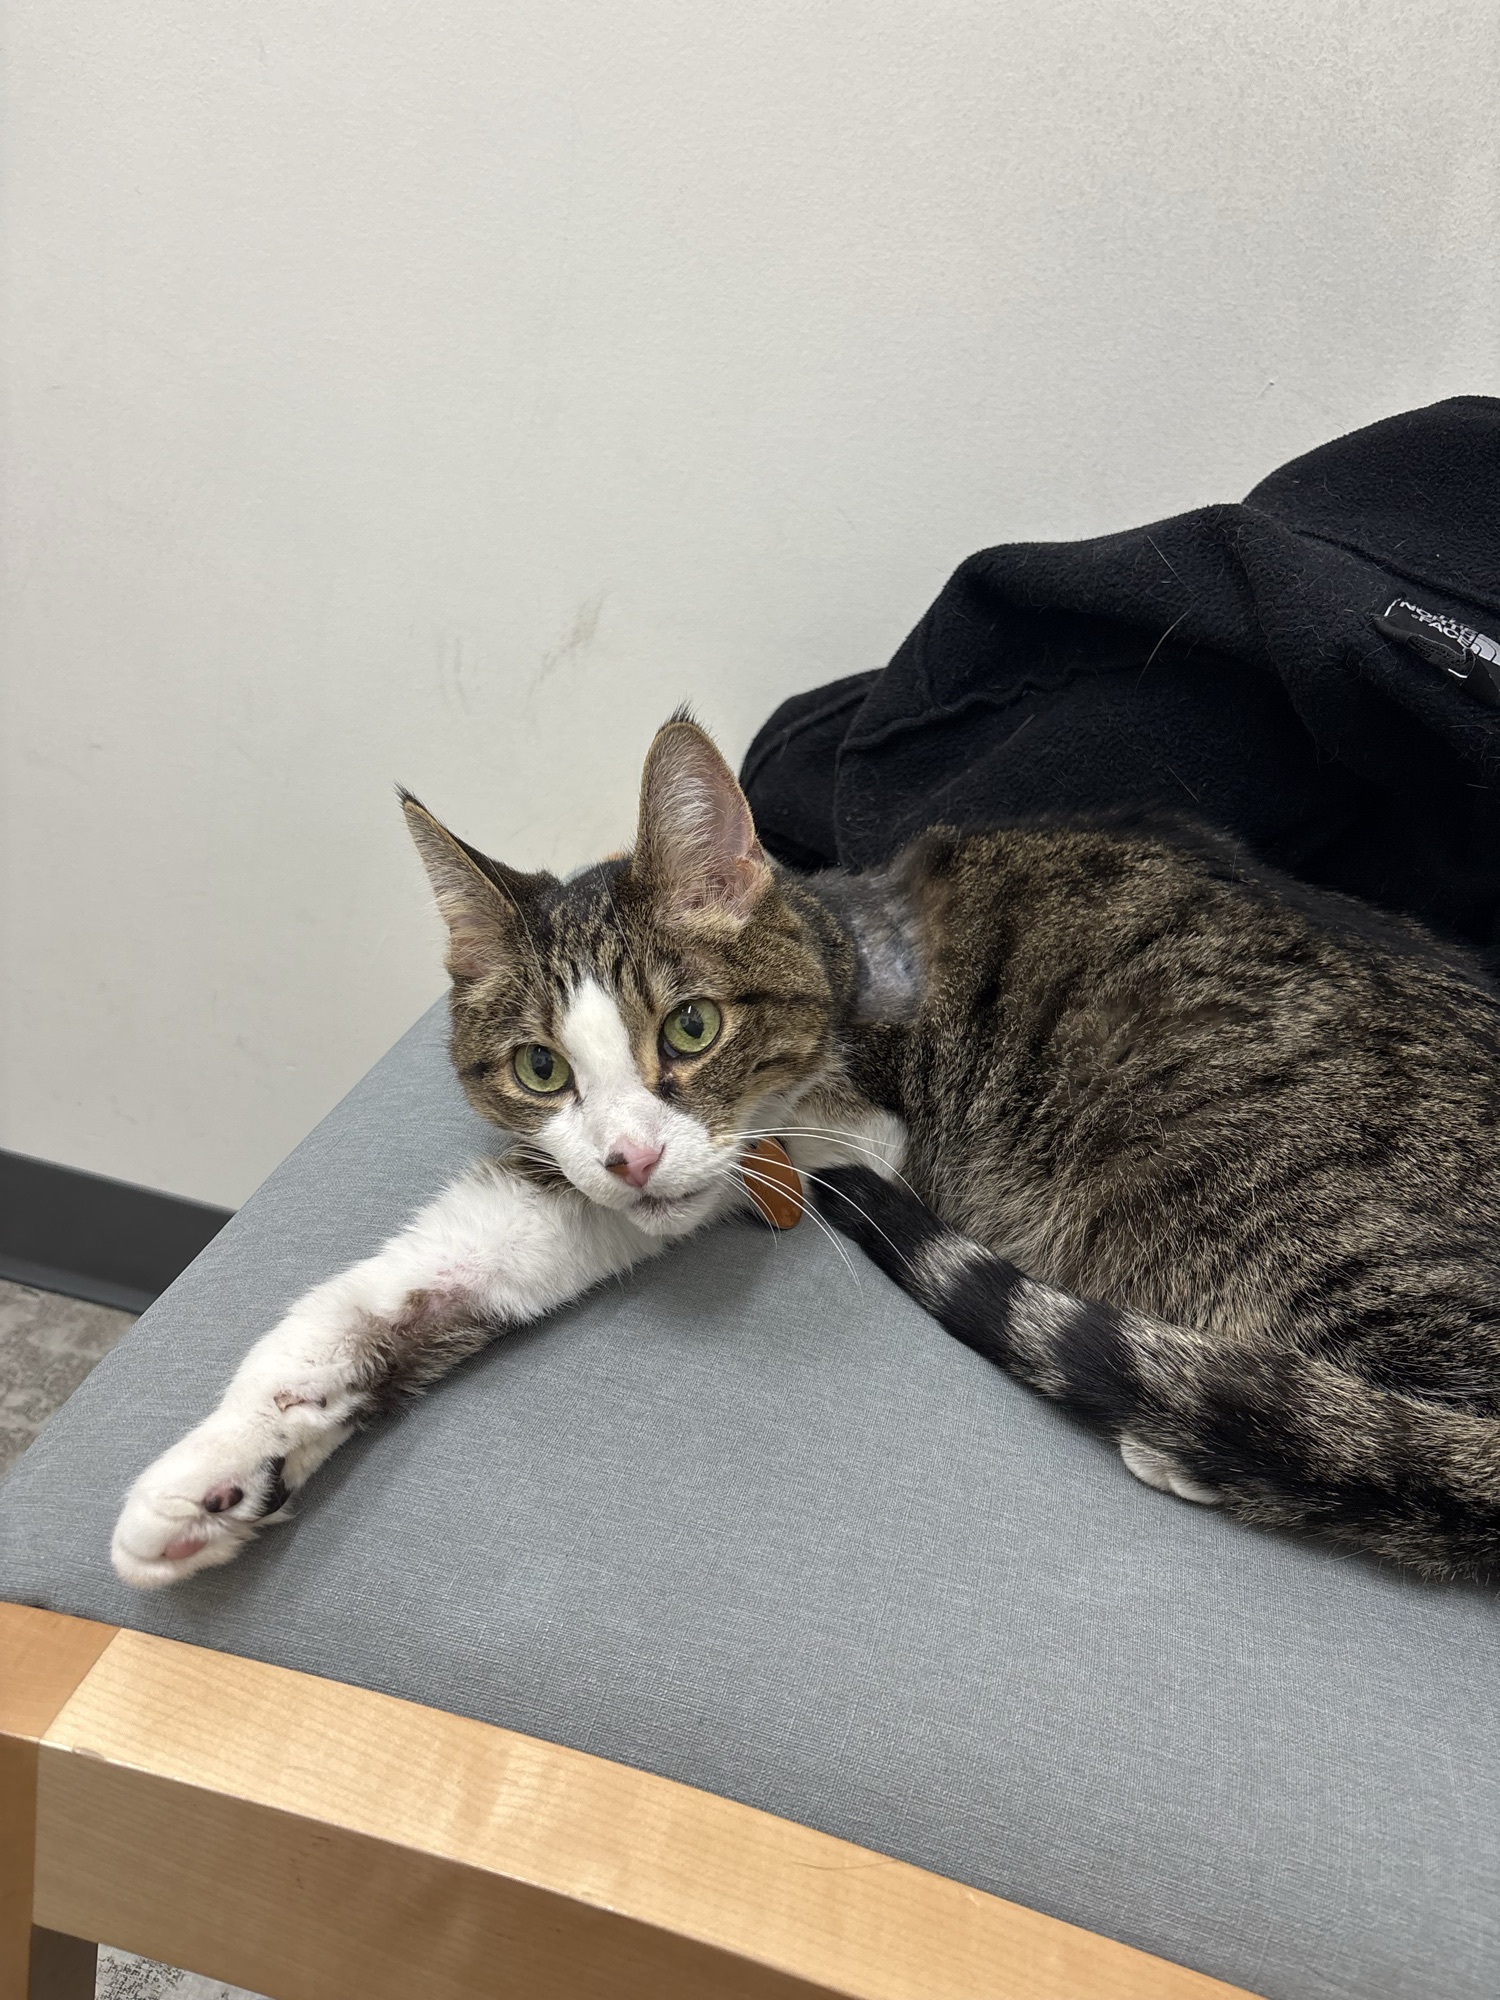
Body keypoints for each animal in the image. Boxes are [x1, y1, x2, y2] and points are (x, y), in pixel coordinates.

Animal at [112, 715, 1500, 1587]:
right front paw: (226, 1468)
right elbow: (400, 1288)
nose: (628, 1156)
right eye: (542, 1068)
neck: (838, 961)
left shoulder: (827, 1137)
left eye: (691, 1025)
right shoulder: (588, 1182)